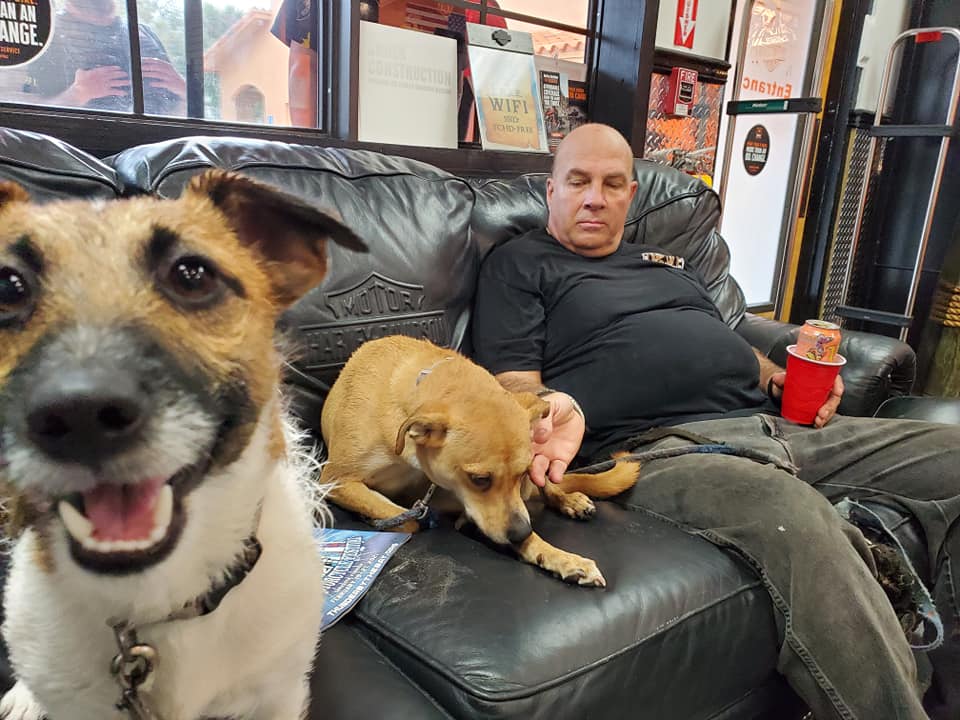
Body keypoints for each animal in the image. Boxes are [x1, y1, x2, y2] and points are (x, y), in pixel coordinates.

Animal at [321, 335, 640, 587]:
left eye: (522, 473)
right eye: (480, 479)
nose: (520, 533)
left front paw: (561, 557)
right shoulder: (334, 480)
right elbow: (405, 519)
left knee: (547, 487)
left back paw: (569, 500)